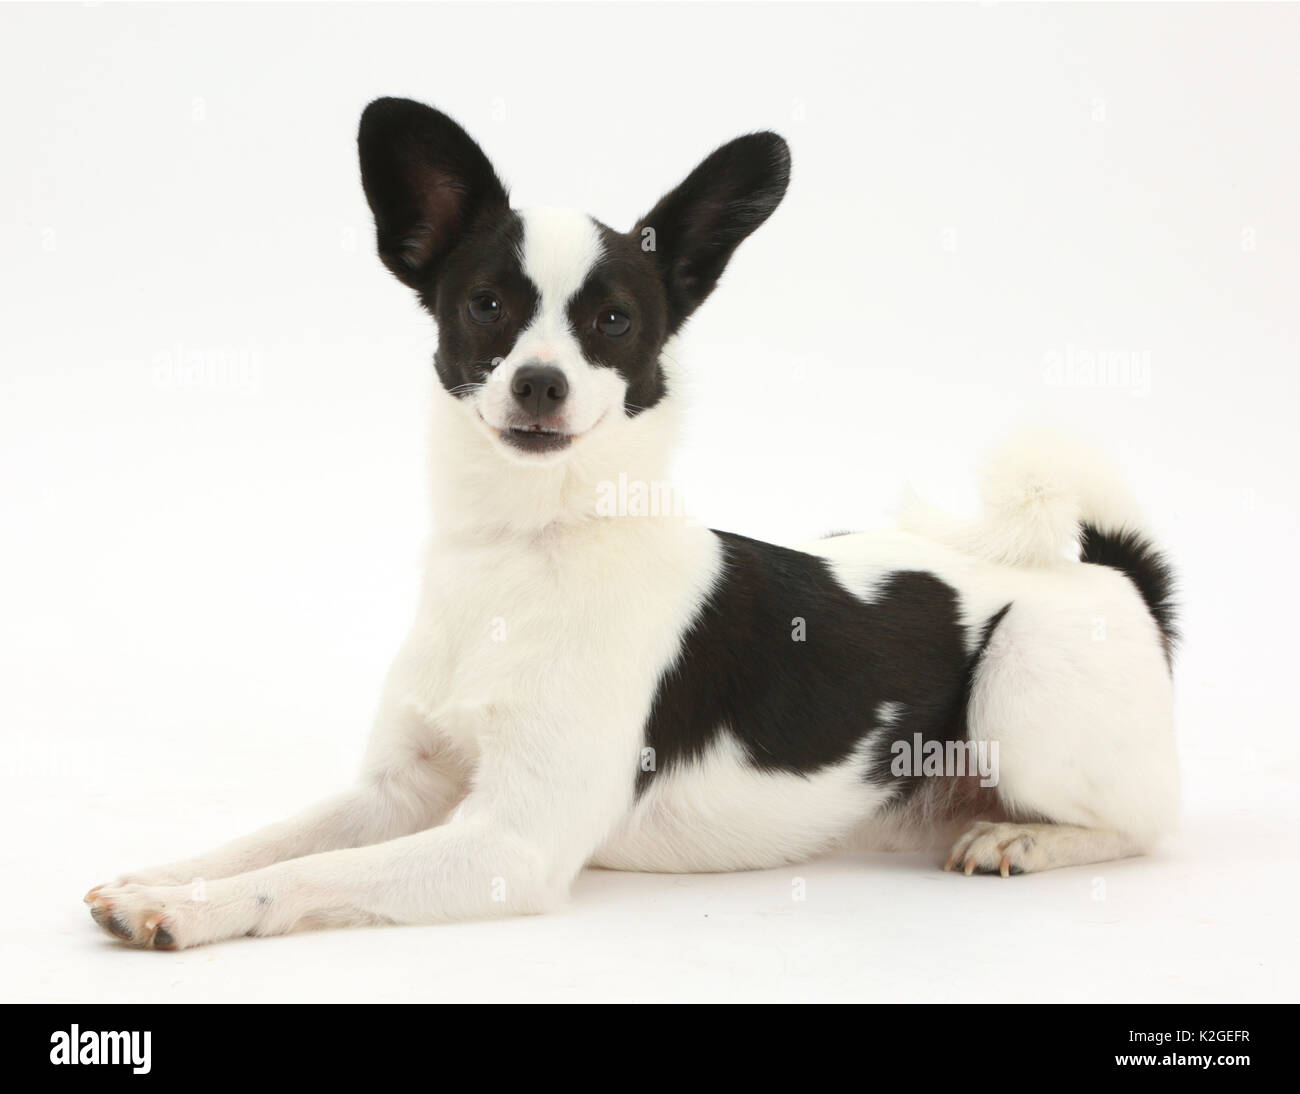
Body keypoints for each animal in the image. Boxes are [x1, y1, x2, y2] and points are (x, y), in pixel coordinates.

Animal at [83, 96, 1180, 945]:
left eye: (613, 321)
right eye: (486, 304)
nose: (540, 381)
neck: (523, 550)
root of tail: (1108, 568)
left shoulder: (507, 843)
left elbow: (301, 876)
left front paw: (195, 909)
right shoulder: (393, 794)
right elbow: (270, 839)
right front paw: (166, 877)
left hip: (1020, 695)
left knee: (1146, 827)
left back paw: (1022, 837)